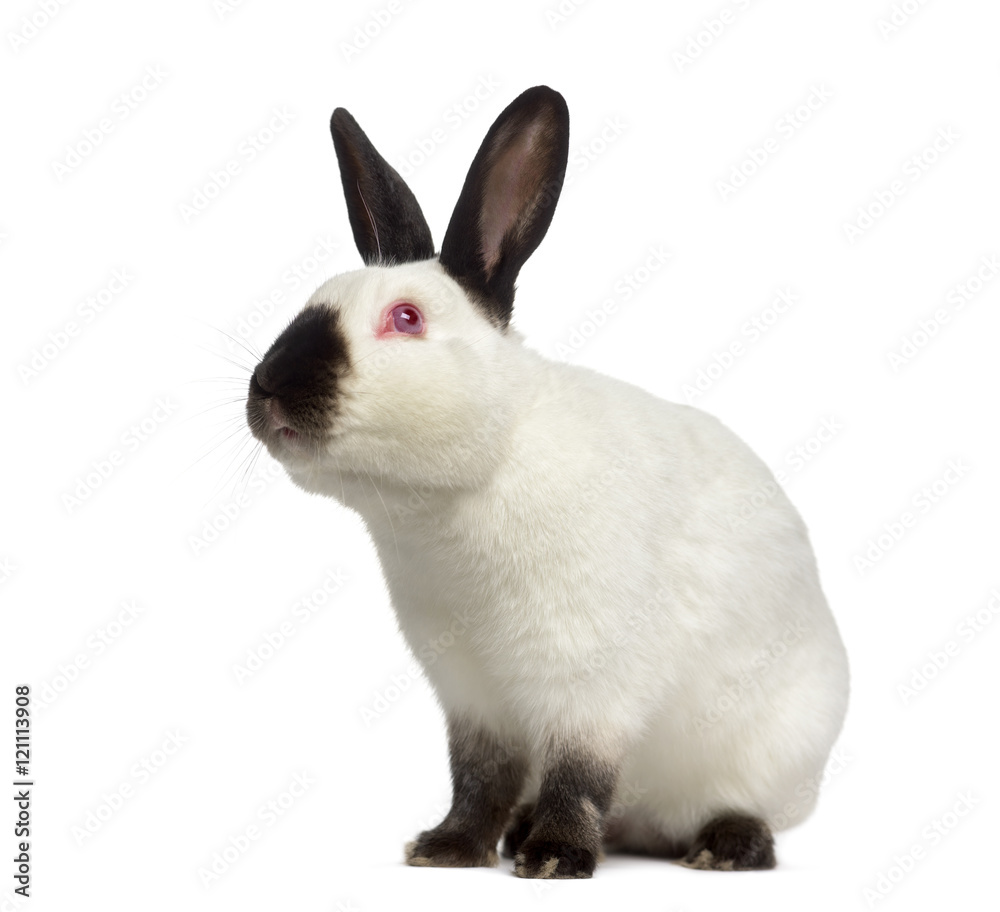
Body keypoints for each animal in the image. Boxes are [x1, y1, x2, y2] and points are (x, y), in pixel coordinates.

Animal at [245, 85, 849, 879]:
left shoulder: (587, 684)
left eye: (405, 319)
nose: (268, 388)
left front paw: (555, 860)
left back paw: (722, 848)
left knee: (747, 809)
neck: (477, 477)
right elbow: (480, 779)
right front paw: (448, 849)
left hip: (771, 751)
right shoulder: (473, 697)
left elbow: (579, 775)